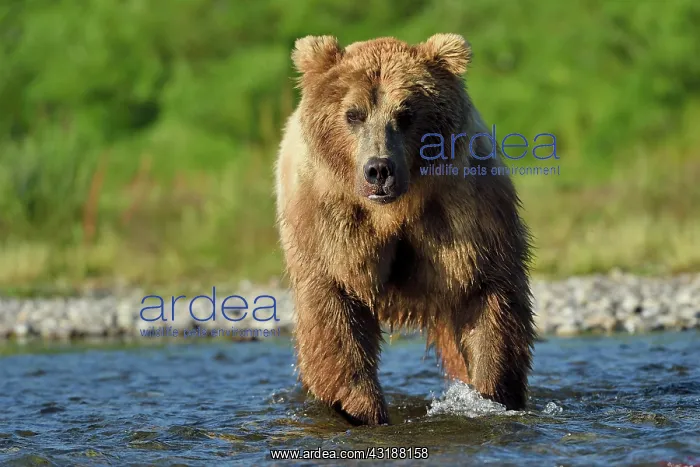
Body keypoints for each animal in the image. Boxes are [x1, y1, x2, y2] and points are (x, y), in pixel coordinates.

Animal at [274, 33, 535, 426]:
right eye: (353, 114)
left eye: (406, 114)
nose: (379, 170)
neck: (392, 212)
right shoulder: (329, 220)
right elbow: (334, 313)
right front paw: (361, 409)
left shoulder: (462, 211)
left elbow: (487, 296)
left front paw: (491, 394)